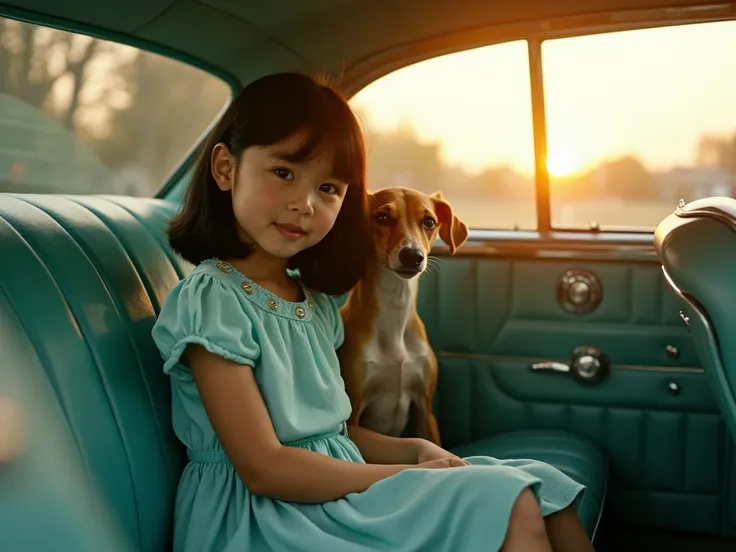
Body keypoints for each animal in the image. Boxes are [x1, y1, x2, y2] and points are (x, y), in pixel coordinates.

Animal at [338, 188, 468, 446]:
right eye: (382, 217)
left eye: (429, 222)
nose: (412, 255)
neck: (395, 312)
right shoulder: (354, 414)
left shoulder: (425, 410)